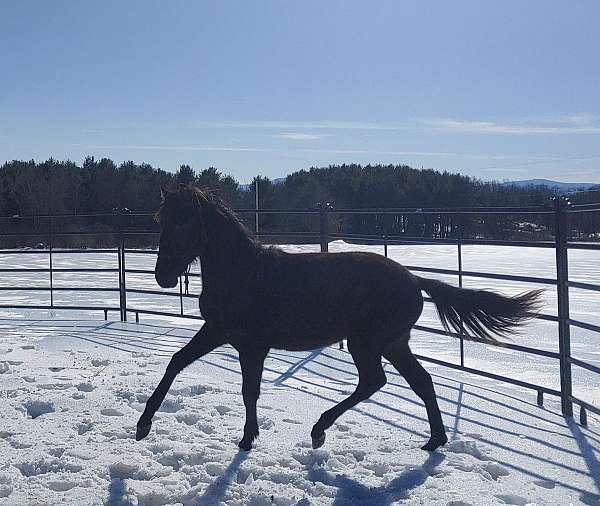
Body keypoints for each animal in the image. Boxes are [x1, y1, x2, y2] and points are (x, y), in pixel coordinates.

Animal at [137, 185, 544, 450]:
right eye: (160, 218)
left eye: (183, 221)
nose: (163, 276)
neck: (243, 273)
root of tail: (414, 280)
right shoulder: (217, 331)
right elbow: (176, 362)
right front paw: (143, 425)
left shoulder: (252, 345)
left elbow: (249, 390)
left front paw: (247, 439)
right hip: (393, 344)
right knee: (420, 381)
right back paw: (433, 441)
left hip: (368, 343)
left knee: (375, 381)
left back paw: (320, 430)